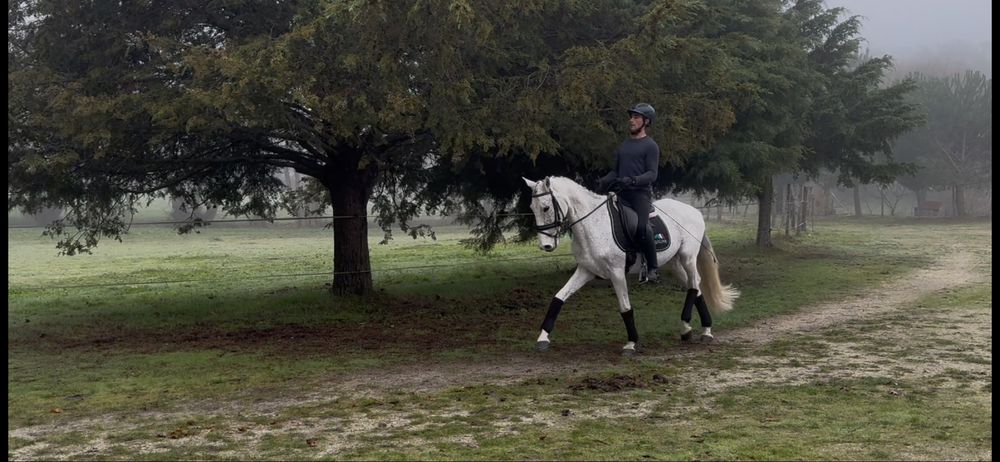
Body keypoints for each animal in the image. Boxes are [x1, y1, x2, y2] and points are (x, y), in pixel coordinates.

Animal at [523, 176, 739, 355]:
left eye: (545, 208)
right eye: (532, 208)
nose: (546, 246)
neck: (594, 224)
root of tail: (694, 211)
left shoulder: (617, 272)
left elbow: (625, 307)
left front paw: (631, 343)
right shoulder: (586, 271)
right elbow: (558, 298)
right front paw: (542, 338)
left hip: (687, 257)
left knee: (694, 285)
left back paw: (688, 327)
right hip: (675, 263)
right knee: (696, 287)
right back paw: (703, 330)